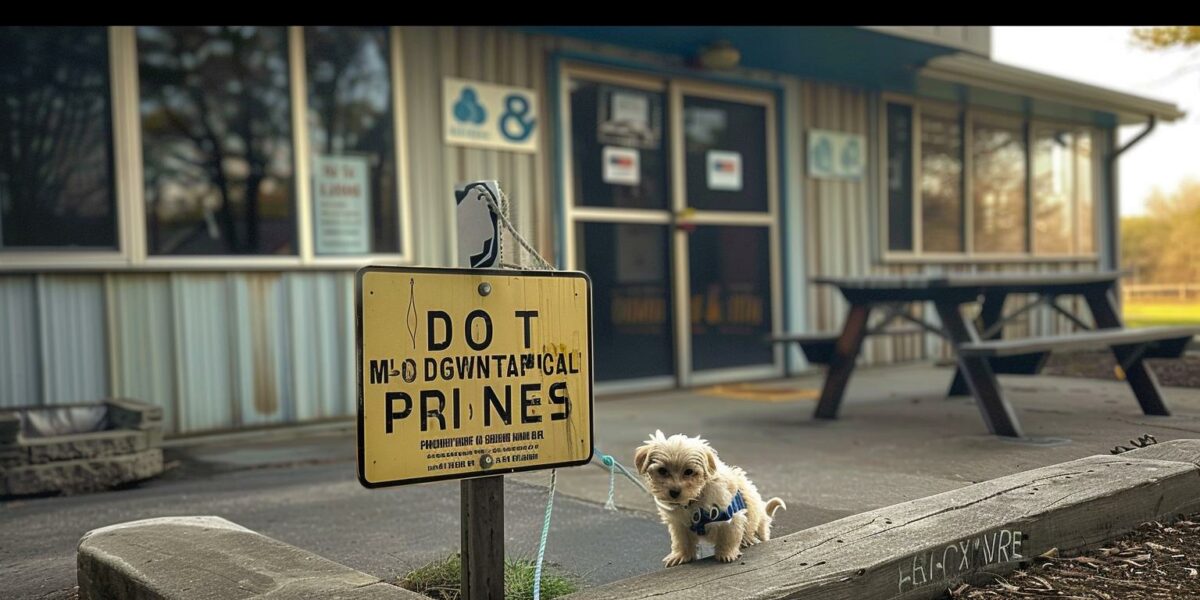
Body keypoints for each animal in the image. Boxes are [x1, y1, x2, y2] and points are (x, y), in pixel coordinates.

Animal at [633, 429, 782, 564]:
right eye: (662, 470)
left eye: (689, 471)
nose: (674, 492)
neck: (694, 500)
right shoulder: (679, 523)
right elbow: (682, 540)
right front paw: (681, 555)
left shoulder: (731, 516)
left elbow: (729, 536)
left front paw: (726, 553)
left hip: (759, 526)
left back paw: (748, 540)